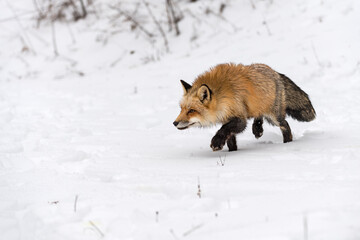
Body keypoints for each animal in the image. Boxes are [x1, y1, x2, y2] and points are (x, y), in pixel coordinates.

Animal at [173, 62, 316, 151]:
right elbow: (230, 139)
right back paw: (257, 128)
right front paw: (232, 152)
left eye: (192, 110)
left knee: (285, 125)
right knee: (258, 115)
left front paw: (216, 142)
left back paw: (287, 144)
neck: (222, 95)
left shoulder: (239, 117)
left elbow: (224, 130)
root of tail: (274, 71)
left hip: (273, 116)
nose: (175, 123)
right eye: (181, 109)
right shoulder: (227, 117)